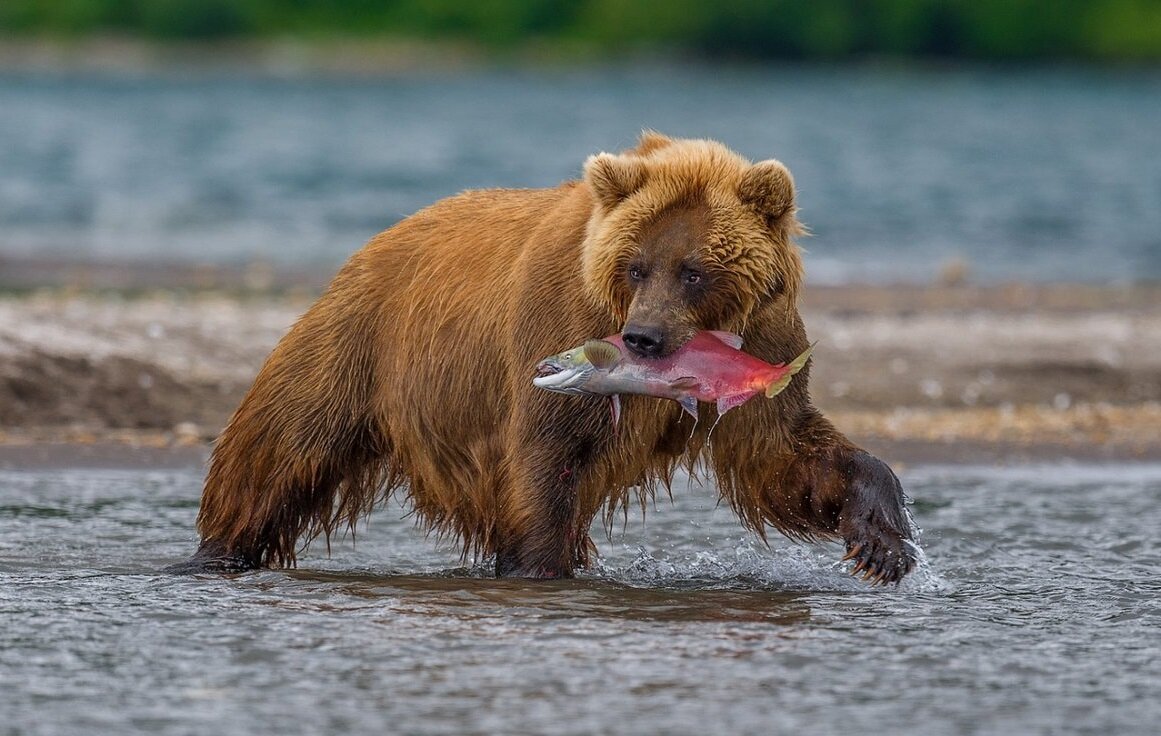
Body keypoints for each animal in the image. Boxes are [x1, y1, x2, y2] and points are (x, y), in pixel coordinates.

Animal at [171, 128, 914, 582]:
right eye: (637, 266)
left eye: (695, 271)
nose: (643, 339)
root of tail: (377, 240)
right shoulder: (558, 326)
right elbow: (545, 458)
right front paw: (539, 567)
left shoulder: (766, 341)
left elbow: (781, 452)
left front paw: (881, 542)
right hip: (357, 344)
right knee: (279, 444)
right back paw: (214, 552)